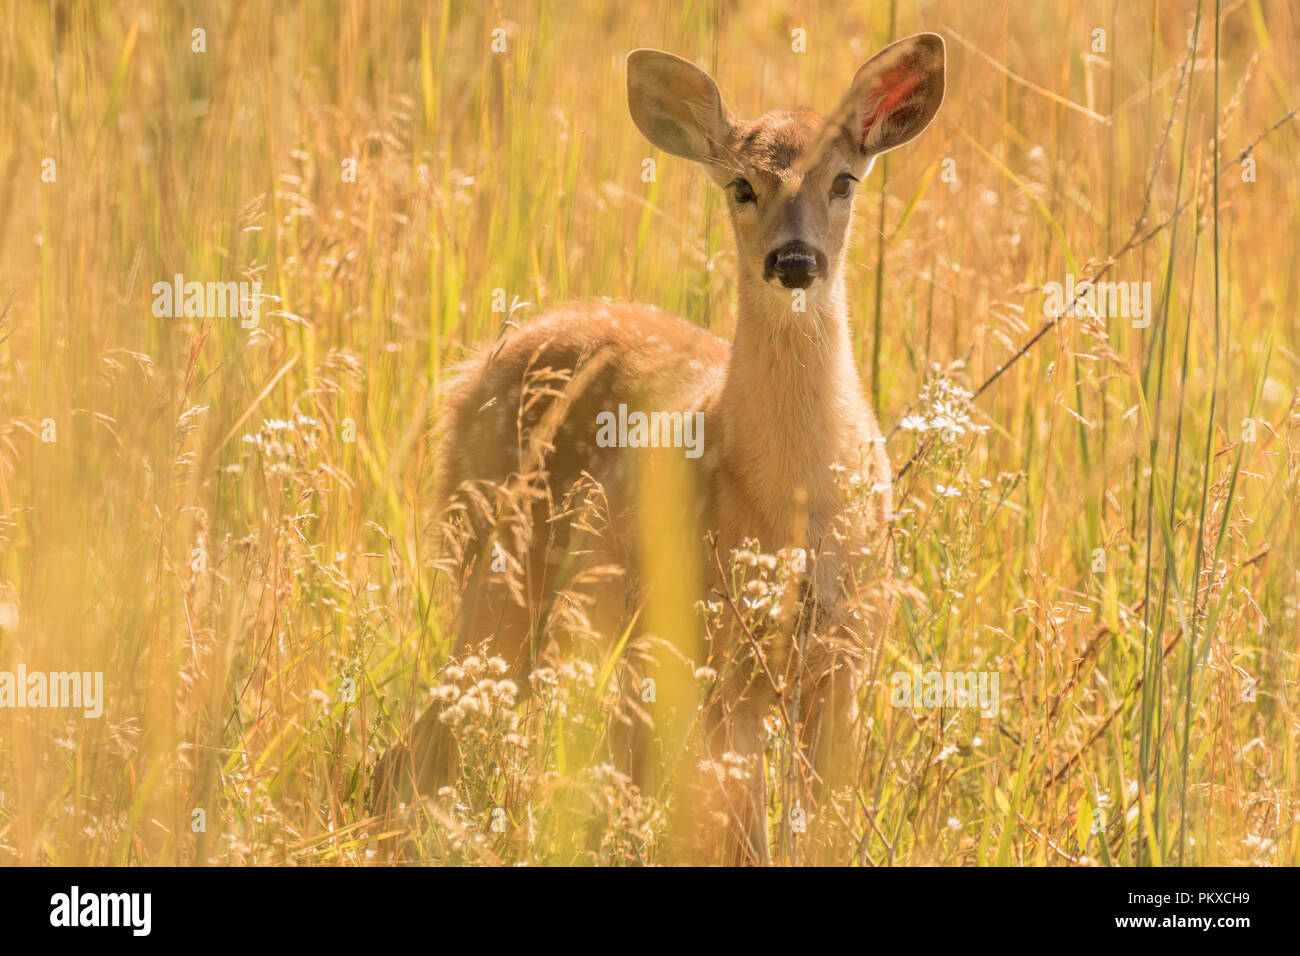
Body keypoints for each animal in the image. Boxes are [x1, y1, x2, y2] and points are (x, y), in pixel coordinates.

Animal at [373, 33, 946, 864]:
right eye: (742, 185)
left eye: (844, 179)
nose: (794, 262)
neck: (796, 500)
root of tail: (469, 373)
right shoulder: (722, 647)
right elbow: (747, 837)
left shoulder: (850, 653)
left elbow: (822, 831)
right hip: (498, 569)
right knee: (418, 747)